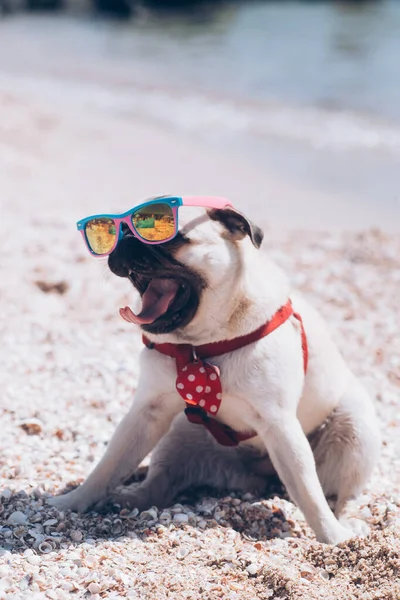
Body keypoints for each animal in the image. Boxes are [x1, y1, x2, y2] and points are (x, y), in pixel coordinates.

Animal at [50, 204, 382, 548]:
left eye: (168, 236)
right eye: (114, 232)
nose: (126, 240)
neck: (202, 345)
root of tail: (259, 468)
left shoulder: (281, 426)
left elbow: (308, 490)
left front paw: (332, 536)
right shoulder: (146, 414)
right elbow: (108, 465)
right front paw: (74, 501)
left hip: (355, 430)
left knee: (344, 494)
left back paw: (347, 522)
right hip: (176, 435)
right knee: (160, 482)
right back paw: (130, 500)